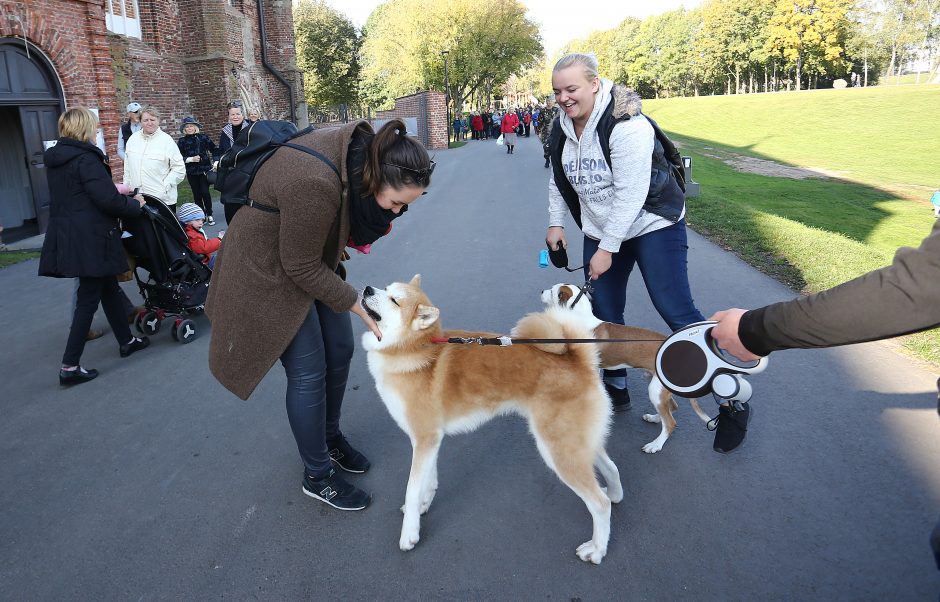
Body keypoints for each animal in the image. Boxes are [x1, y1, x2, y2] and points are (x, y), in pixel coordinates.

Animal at [364, 276, 620, 564]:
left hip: (559, 451)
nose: (367, 290)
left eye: (394, 300)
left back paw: (597, 548)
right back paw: (615, 494)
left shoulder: (425, 437)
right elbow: (429, 481)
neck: (414, 351)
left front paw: (409, 533)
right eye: (386, 288)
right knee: (611, 469)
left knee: (599, 504)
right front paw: (422, 506)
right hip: (577, 443)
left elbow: (412, 487)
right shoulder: (429, 440)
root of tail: (578, 361)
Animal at [540, 284, 708, 452]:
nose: (541, 291)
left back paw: (655, 445)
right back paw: (654, 418)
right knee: (671, 407)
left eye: (552, 291)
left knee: (670, 422)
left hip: (655, 389)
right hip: (658, 386)